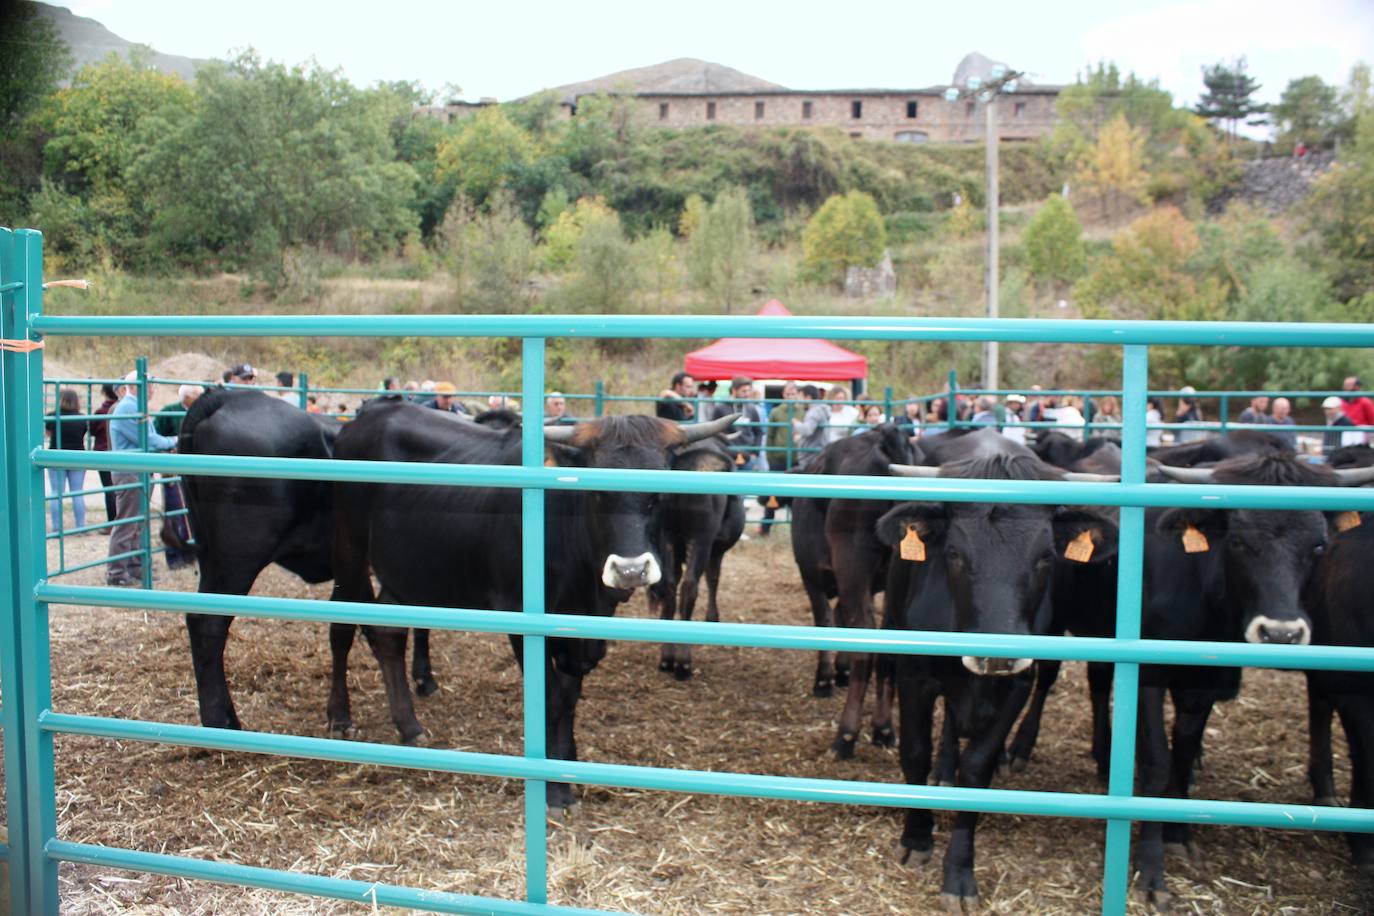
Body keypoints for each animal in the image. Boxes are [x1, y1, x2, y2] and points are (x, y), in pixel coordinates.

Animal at [648, 436, 747, 681]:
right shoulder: (716, 549)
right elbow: (713, 578)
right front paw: (712, 617)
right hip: (701, 538)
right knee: (690, 586)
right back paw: (683, 663)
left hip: (667, 536)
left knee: (671, 586)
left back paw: (667, 657)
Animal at [791, 422, 917, 758]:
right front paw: (840, 671)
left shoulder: (812, 577)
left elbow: (825, 623)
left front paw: (824, 680)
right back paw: (883, 729)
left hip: (852, 567)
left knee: (866, 646)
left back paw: (845, 737)